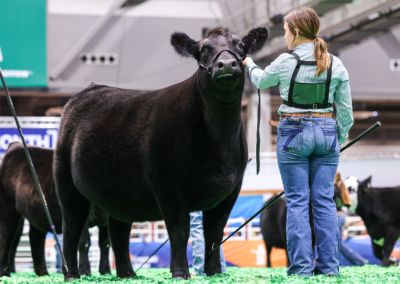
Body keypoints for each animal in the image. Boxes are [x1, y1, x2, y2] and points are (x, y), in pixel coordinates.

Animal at [0, 143, 111, 276]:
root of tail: (16, 145)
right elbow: (84, 243)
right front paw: (85, 271)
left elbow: (105, 244)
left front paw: (106, 271)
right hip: (8, 207)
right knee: (7, 237)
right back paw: (5, 272)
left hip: (37, 212)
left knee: (35, 239)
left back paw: (43, 273)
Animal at [54, 27, 268, 280]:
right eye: (204, 49)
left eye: (240, 46)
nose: (226, 64)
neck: (219, 141)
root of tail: (90, 89)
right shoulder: (167, 185)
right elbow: (179, 231)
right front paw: (180, 273)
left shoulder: (231, 189)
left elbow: (215, 233)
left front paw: (215, 273)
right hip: (67, 186)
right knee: (71, 229)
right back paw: (71, 274)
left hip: (118, 193)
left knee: (118, 233)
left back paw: (128, 274)